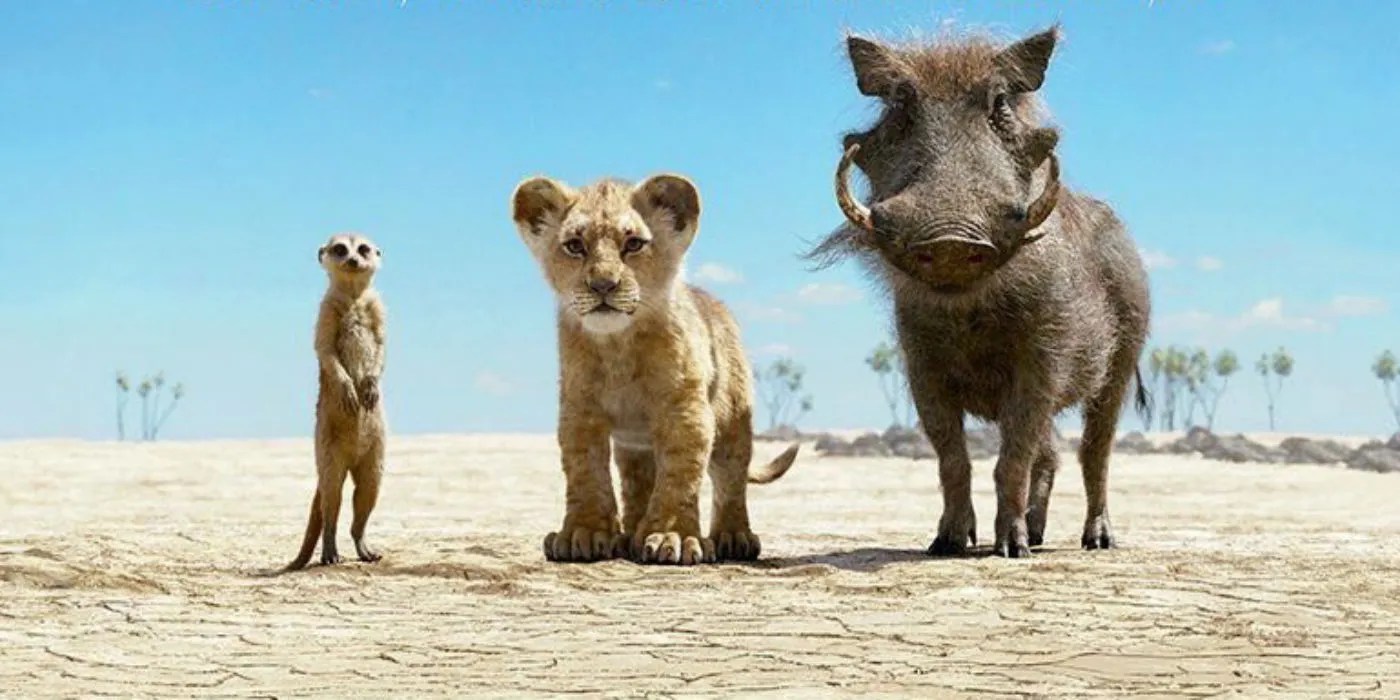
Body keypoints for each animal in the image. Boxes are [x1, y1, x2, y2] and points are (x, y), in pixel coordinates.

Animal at [510, 174, 800, 565]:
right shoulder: (580, 410)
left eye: (633, 243)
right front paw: (584, 533)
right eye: (574, 245)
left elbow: (679, 474)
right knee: (638, 482)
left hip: (733, 423)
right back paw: (630, 535)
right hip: (635, 446)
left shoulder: (684, 409)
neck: (618, 345)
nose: (603, 285)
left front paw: (671, 536)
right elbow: (585, 471)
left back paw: (734, 537)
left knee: (730, 478)